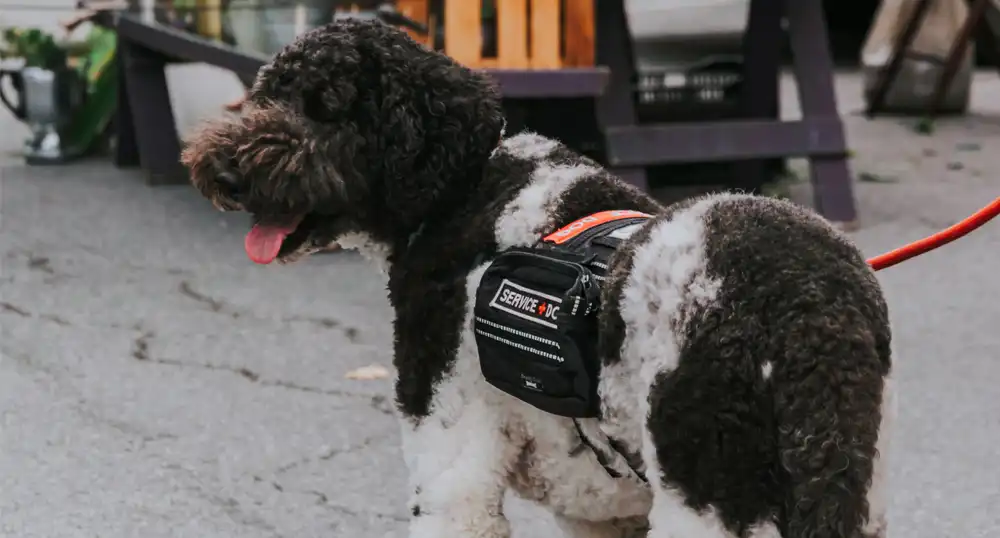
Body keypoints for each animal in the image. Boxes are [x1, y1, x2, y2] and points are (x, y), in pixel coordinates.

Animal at [184, 19, 896, 536]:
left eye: (326, 107)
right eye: (266, 92)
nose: (222, 171)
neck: (464, 189)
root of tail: (809, 316)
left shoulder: (453, 473)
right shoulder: (599, 511)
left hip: (712, 499)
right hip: (845, 490)